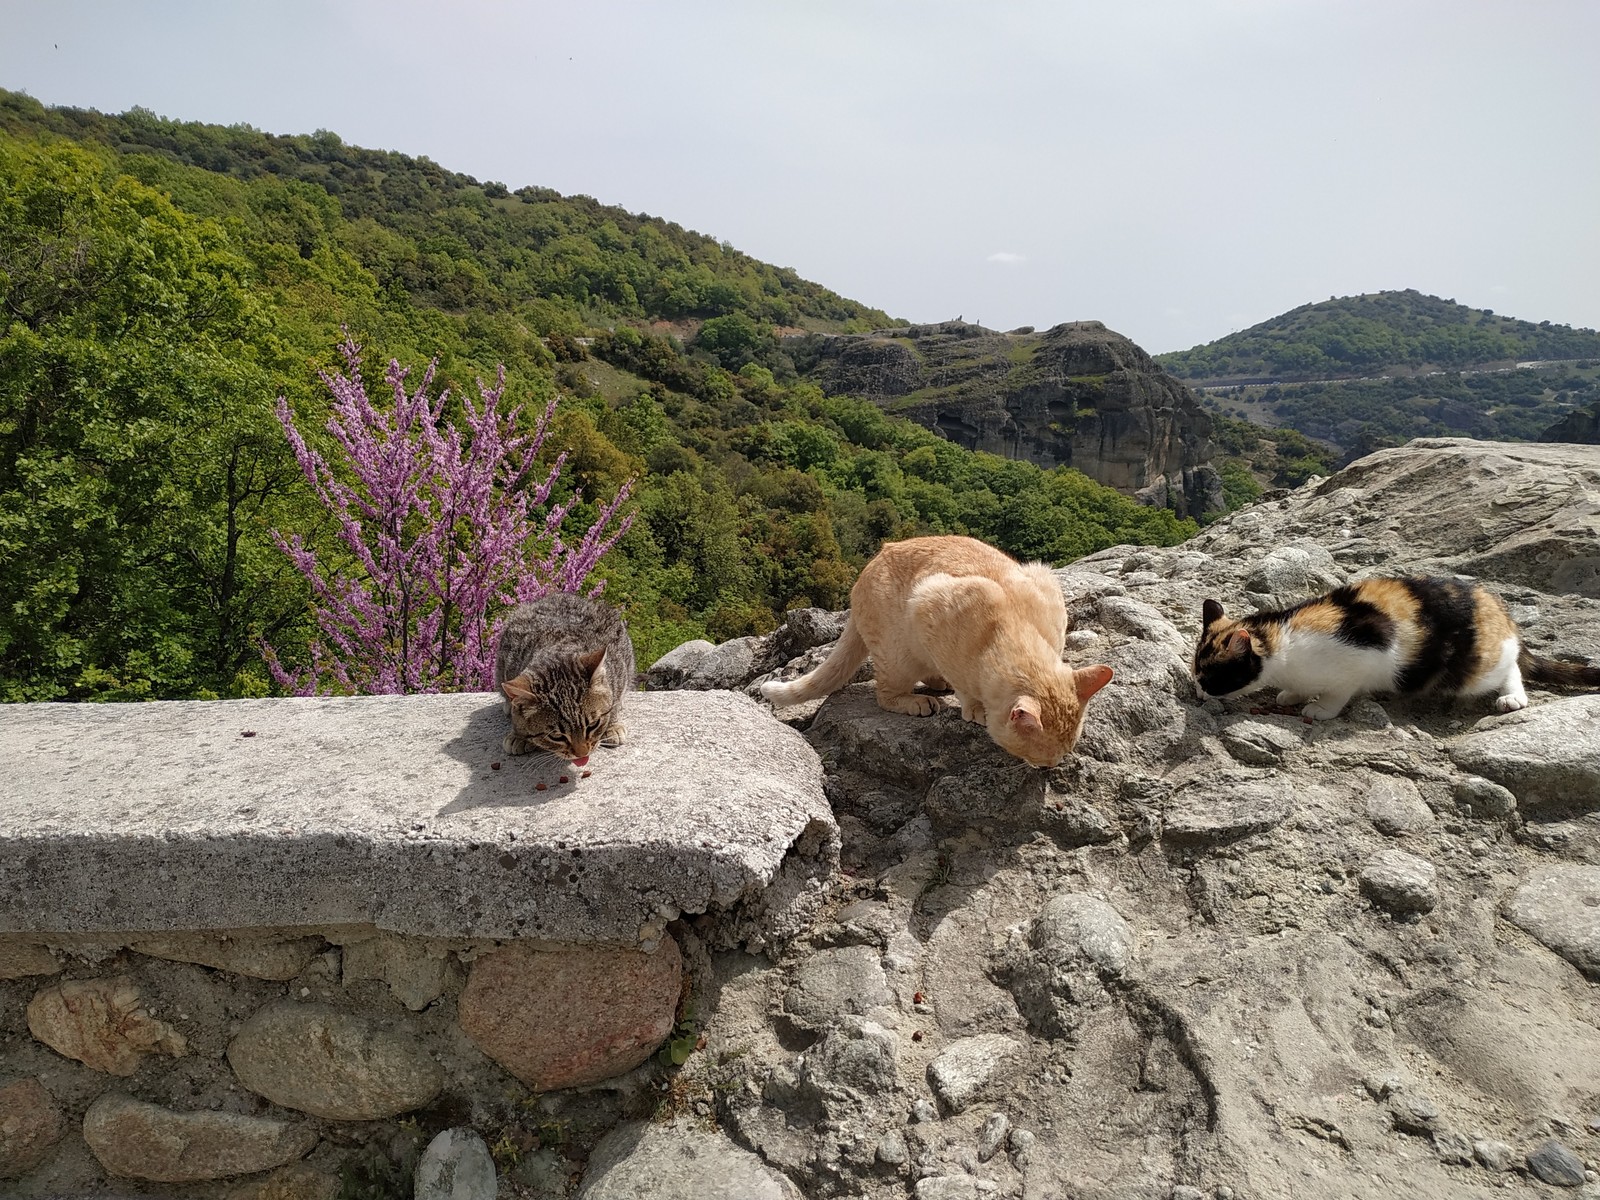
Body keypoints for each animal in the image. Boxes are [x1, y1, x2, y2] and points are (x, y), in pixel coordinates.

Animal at [489, 595, 633, 771]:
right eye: (556, 736)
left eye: (593, 724)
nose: (582, 754)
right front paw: (519, 734)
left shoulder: (619, 672)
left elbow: (613, 701)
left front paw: (612, 725)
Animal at [758, 537, 1113, 771]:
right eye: (1040, 757)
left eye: (1065, 751)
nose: (1051, 767)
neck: (1014, 631)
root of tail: (876, 558)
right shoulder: (927, 606)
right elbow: (966, 688)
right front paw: (975, 708)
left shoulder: (1044, 581)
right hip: (898, 654)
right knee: (885, 694)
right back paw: (918, 700)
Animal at [1196, 576, 1600, 723]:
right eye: (1197, 672)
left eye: (1211, 676)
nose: (1199, 691)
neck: (1282, 641)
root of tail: (1502, 614)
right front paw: (1291, 695)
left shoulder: (1363, 657)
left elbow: (1338, 693)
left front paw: (1319, 708)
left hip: (1478, 667)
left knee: (1512, 664)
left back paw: (1512, 698)